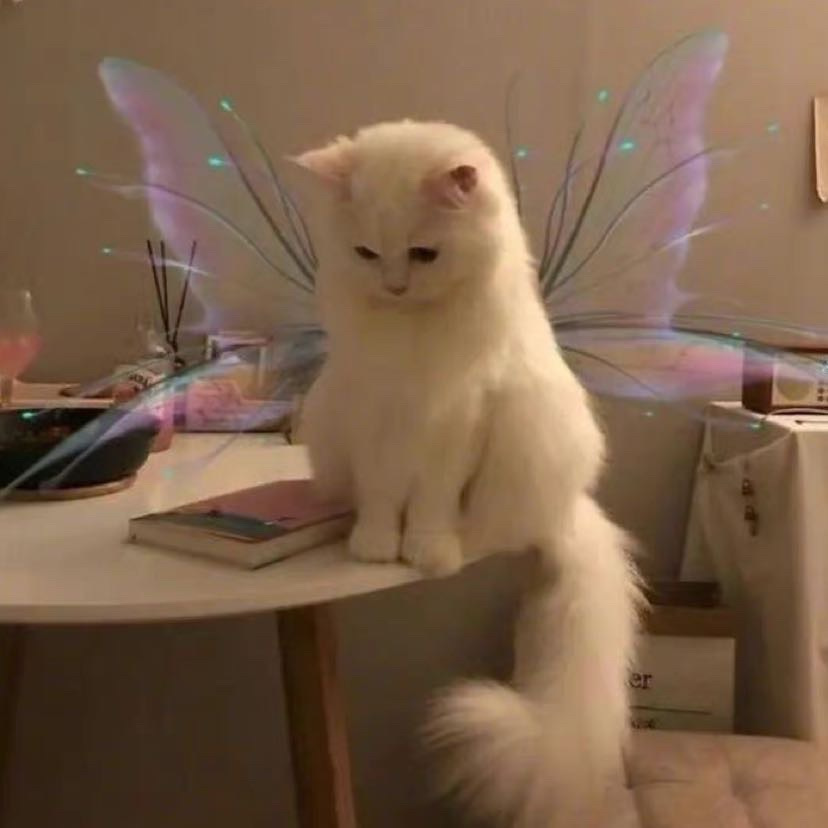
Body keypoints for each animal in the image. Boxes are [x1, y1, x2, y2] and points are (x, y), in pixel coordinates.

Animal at [292, 120, 643, 827]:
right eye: (367, 253)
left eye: (423, 254)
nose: (396, 286)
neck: (410, 337)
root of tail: (569, 509)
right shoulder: (373, 421)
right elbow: (380, 500)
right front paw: (375, 548)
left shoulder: (458, 423)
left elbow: (429, 505)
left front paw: (422, 551)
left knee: (487, 532)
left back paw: (454, 548)